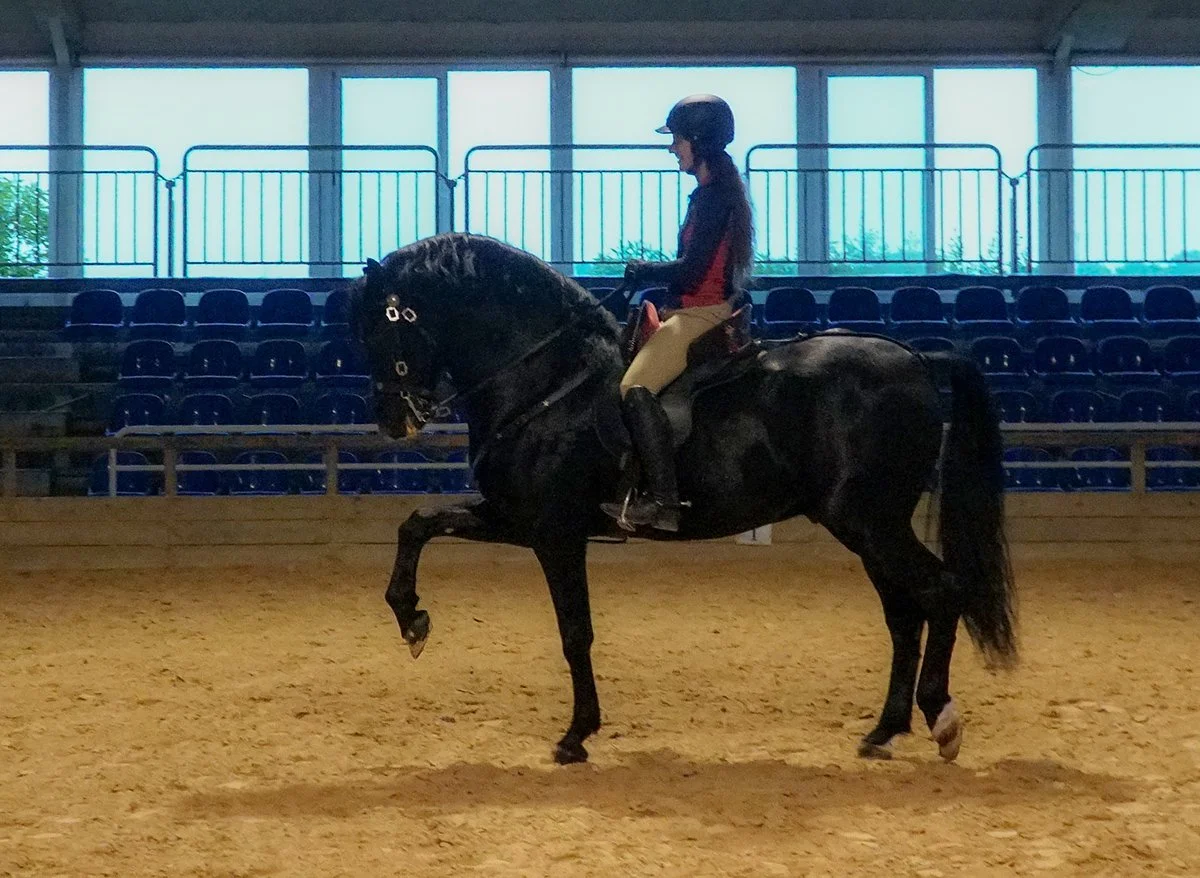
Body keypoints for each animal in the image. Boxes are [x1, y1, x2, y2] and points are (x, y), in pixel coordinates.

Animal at [347, 232, 1016, 766]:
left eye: (387, 322)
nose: (392, 421)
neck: (544, 382)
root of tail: (916, 357)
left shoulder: (553, 532)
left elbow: (575, 633)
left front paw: (576, 735)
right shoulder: (518, 518)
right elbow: (418, 522)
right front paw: (412, 619)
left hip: (871, 521)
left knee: (941, 591)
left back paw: (940, 718)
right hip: (866, 525)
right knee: (904, 615)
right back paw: (884, 732)